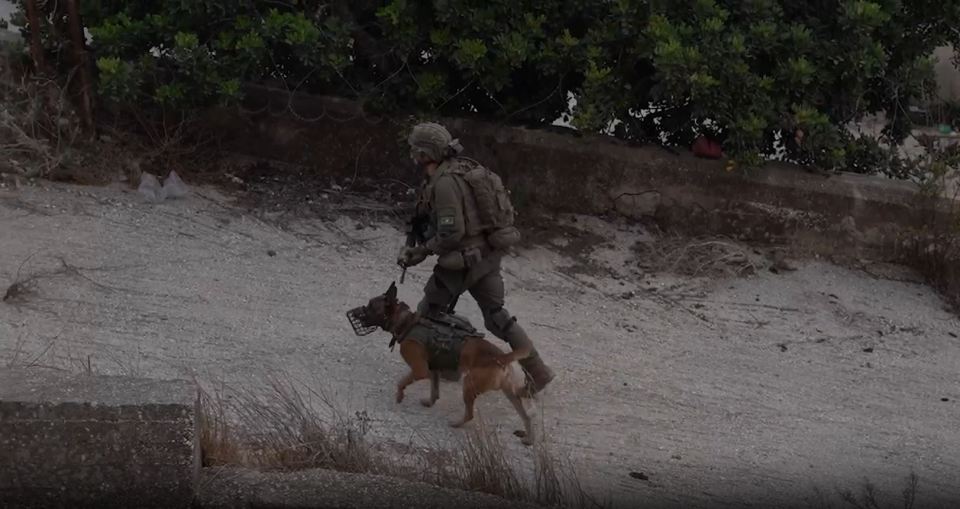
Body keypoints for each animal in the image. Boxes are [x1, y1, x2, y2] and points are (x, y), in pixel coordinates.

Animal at [346, 282, 540, 444]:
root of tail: (503, 357)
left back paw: (456, 423)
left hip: (469, 385)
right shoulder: (434, 370)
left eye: (370, 306)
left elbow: (401, 382)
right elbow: (435, 390)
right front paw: (430, 402)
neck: (407, 322)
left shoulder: (420, 370)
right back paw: (529, 438)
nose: (353, 313)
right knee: (527, 417)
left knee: (470, 414)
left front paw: (400, 396)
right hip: (511, 394)